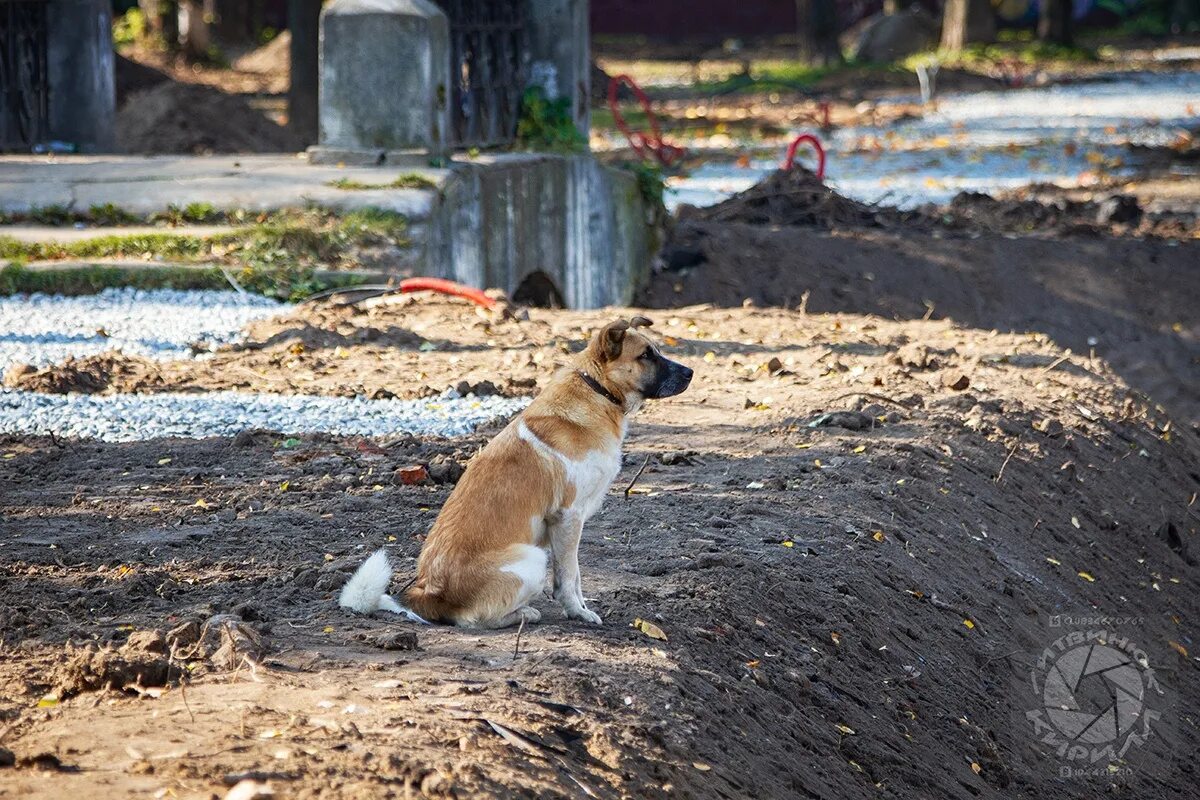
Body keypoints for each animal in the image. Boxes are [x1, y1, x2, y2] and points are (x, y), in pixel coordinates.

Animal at [338, 316, 696, 628]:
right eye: (646, 355)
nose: (691, 372)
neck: (597, 391)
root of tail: (428, 594)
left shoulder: (572, 523)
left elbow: (575, 575)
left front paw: (581, 607)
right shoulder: (568, 517)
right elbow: (568, 577)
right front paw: (578, 613)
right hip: (533, 559)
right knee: (472, 619)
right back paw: (525, 614)